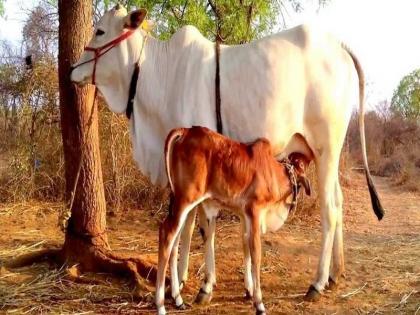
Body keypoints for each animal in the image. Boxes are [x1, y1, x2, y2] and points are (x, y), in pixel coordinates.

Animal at [155, 126, 312, 315]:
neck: (273, 172)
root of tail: (186, 131)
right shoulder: (254, 212)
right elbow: (256, 255)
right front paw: (259, 304)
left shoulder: (244, 216)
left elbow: (246, 248)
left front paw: (249, 291)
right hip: (186, 199)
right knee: (167, 234)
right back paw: (161, 305)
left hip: (178, 202)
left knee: (174, 241)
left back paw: (178, 299)